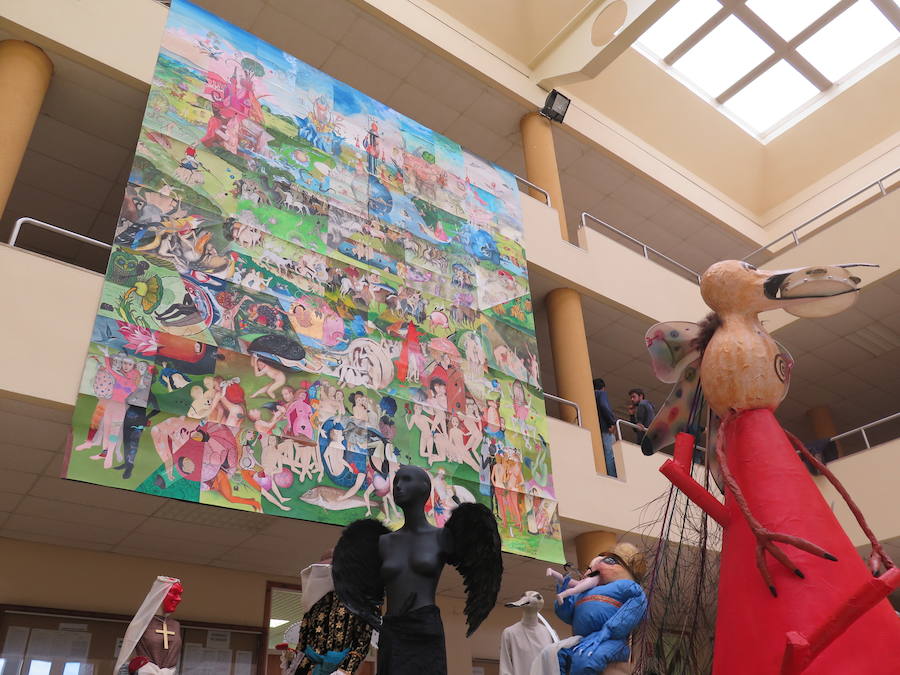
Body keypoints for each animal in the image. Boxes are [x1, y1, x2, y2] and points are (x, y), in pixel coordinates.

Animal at [644, 262, 896, 672]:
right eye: (749, 267)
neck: (738, 324)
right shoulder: (737, 415)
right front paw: (772, 544)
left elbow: (829, 476)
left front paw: (879, 555)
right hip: (730, 418)